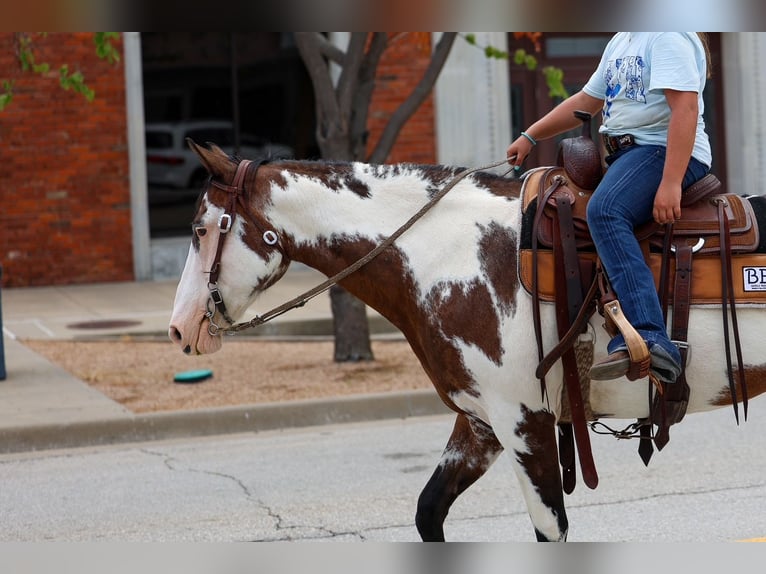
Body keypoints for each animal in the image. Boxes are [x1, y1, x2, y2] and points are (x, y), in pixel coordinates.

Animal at [168, 140, 766, 541]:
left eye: (200, 229)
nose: (179, 327)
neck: (446, 254)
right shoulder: (480, 422)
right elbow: (428, 510)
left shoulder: (525, 420)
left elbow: (550, 530)